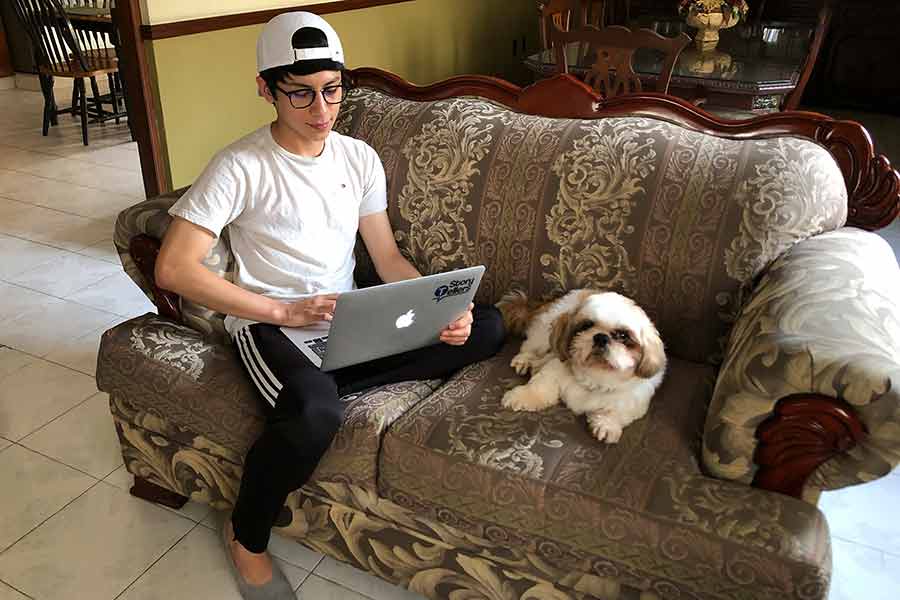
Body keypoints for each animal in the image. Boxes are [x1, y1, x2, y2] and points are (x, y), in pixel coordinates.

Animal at [500, 290, 668, 446]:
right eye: (586, 325)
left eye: (623, 335)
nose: (601, 337)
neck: (596, 376)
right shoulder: (554, 371)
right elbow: (539, 387)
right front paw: (521, 396)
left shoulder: (633, 400)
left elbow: (617, 412)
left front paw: (607, 425)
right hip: (543, 334)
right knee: (530, 347)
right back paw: (524, 360)